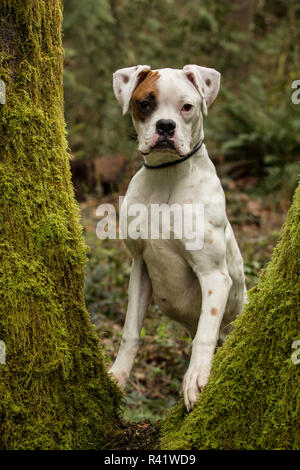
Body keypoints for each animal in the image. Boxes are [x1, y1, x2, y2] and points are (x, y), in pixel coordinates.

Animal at [109, 64, 245, 410]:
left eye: (187, 107)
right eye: (145, 103)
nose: (165, 126)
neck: (167, 175)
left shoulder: (214, 276)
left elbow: (205, 333)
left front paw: (195, 378)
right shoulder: (140, 267)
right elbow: (130, 331)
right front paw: (117, 374)